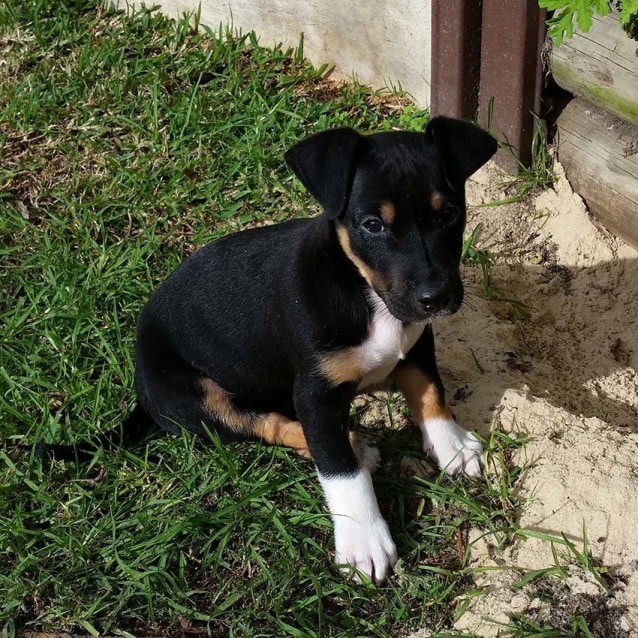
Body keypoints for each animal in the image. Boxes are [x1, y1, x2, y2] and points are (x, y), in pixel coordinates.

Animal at [37, 119, 500, 584]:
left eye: (450, 214)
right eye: (372, 225)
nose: (435, 298)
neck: (363, 290)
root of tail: (140, 379)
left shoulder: (418, 341)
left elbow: (429, 389)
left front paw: (451, 444)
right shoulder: (315, 394)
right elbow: (339, 468)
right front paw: (364, 539)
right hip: (200, 398)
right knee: (269, 425)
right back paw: (356, 443)